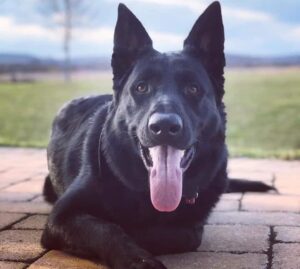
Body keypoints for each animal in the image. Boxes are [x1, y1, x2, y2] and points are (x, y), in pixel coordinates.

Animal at [41, 2, 274, 268]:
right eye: (141, 87)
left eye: (193, 88)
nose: (164, 126)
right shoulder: (61, 217)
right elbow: (106, 228)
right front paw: (137, 259)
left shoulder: (192, 228)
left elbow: (168, 232)